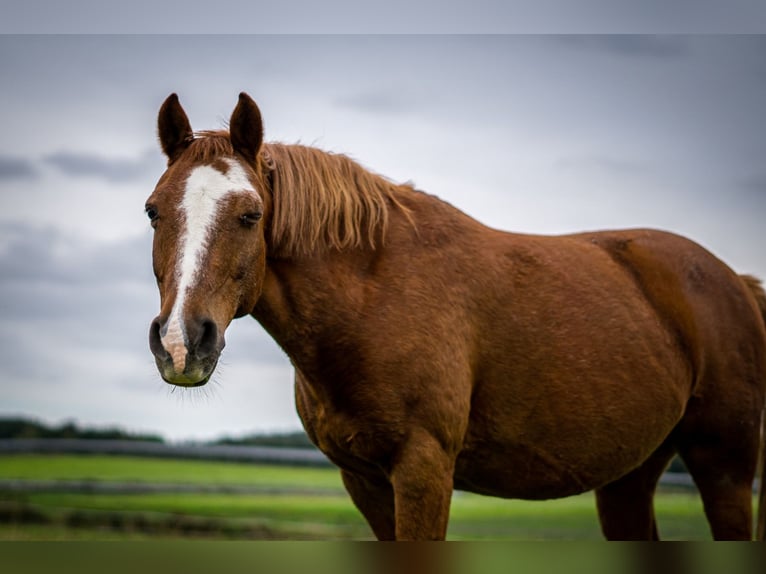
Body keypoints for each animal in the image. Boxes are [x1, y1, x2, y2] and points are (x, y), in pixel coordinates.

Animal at [146, 93, 766, 540]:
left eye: (251, 215)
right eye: (153, 211)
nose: (181, 343)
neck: (370, 298)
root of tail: (735, 281)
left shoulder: (423, 470)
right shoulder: (364, 480)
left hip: (725, 469)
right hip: (628, 478)